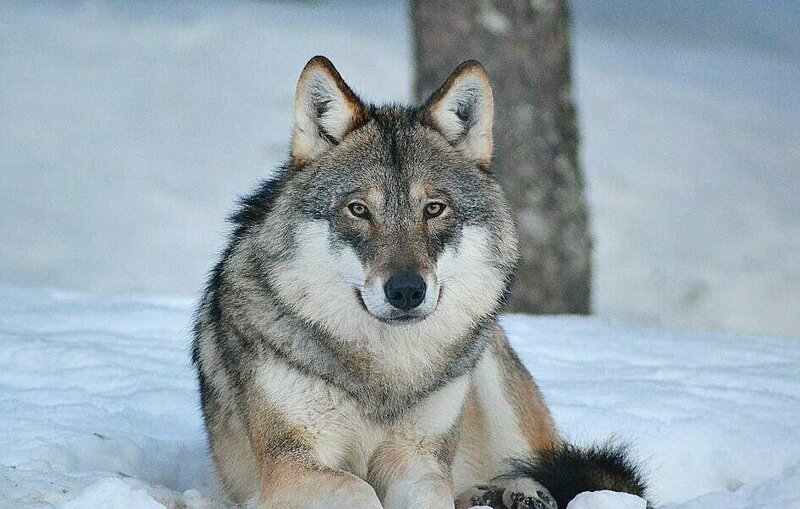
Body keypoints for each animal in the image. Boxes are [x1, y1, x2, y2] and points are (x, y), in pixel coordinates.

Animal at [195, 56, 648, 508]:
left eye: (433, 209)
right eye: (358, 209)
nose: (406, 291)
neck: (385, 374)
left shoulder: (418, 460)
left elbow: (430, 493)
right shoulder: (287, 465)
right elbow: (357, 487)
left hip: (491, 373)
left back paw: (522, 492)